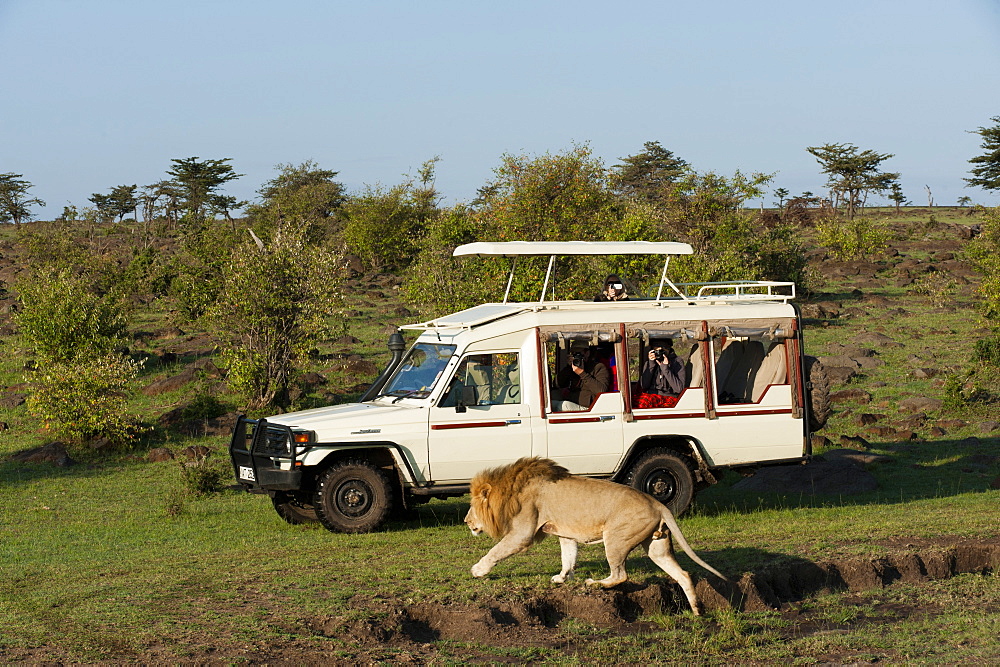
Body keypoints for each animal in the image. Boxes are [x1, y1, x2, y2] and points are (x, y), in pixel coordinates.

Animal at [464, 460, 724, 616]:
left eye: (472, 507)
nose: (466, 521)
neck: (509, 491)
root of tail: (658, 504)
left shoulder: (523, 533)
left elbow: (496, 551)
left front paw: (478, 570)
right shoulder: (565, 533)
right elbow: (568, 557)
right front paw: (561, 578)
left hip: (615, 539)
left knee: (620, 575)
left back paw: (595, 583)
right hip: (656, 547)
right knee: (683, 574)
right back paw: (696, 610)